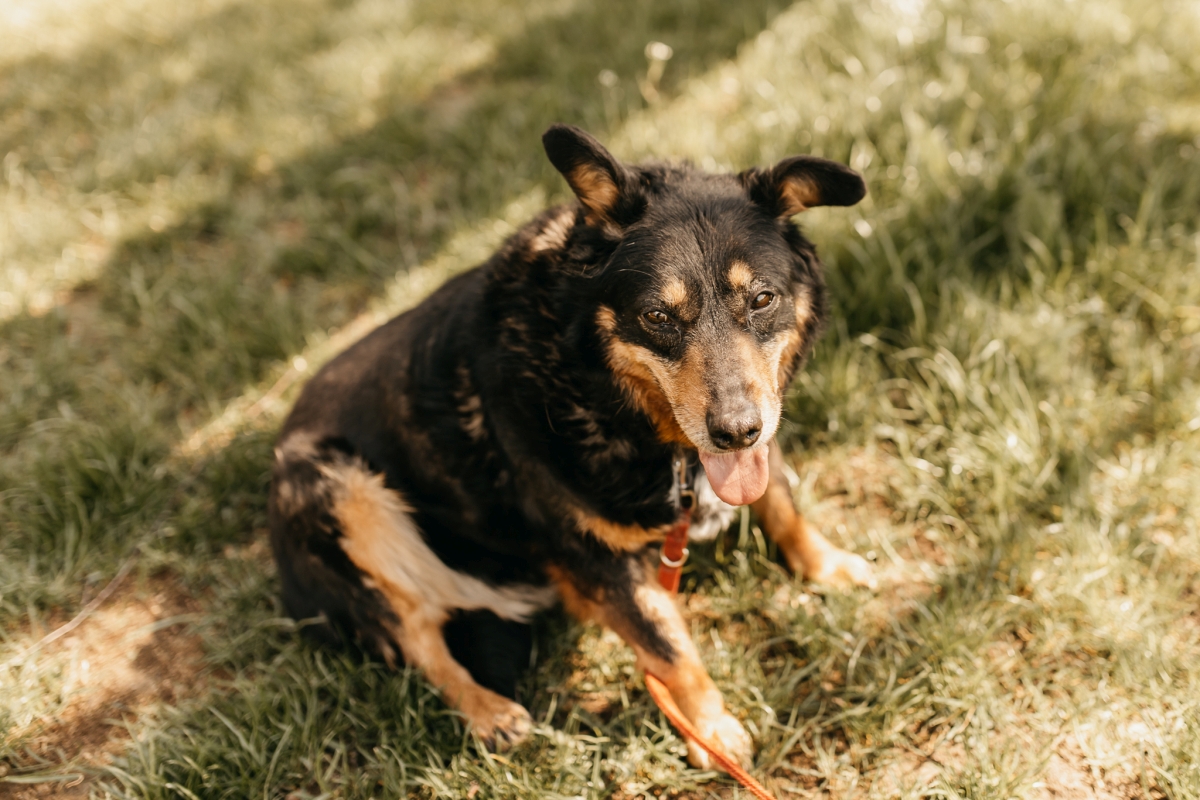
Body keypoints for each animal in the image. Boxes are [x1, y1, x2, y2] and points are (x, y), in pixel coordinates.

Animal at [269, 124, 873, 770]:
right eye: (656, 316)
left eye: (762, 299)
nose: (736, 431)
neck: (601, 387)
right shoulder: (597, 558)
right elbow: (670, 646)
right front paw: (711, 730)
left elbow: (782, 506)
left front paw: (828, 564)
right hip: (335, 491)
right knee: (418, 638)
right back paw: (490, 713)